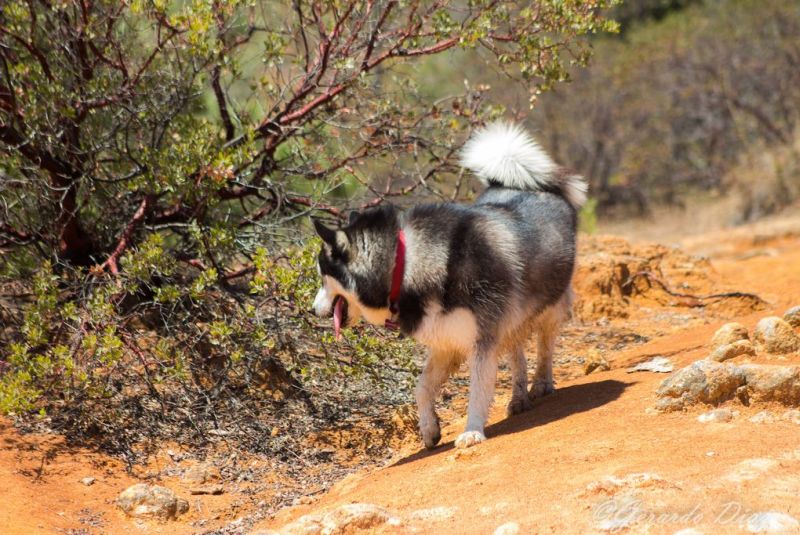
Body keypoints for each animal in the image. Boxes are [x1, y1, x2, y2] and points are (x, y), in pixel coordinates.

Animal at [314, 123, 588, 450]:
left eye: (321, 275)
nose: (313, 309)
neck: (404, 264)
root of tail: (523, 183)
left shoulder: (482, 339)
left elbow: (478, 388)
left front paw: (472, 431)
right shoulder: (447, 341)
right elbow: (421, 387)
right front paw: (429, 429)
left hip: (549, 305)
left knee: (544, 346)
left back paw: (541, 384)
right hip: (512, 318)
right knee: (516, 351)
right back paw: (519, 397)